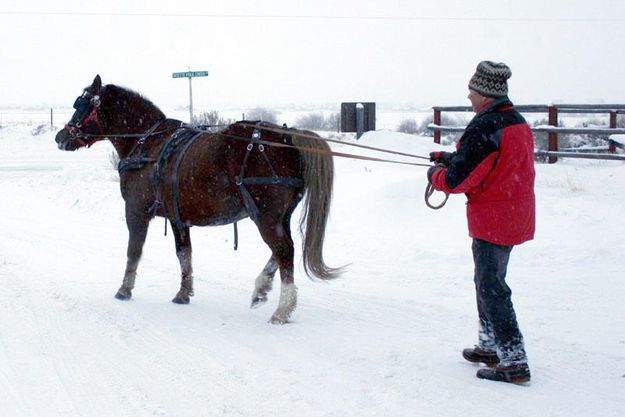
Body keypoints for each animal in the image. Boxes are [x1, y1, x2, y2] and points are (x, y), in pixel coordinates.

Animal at [54, 74, 344, 322]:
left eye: (81, 104)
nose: (60, 137)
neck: (147, 143)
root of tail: (288, 136)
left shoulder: (136, 210)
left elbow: (133, 251)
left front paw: (124, 290)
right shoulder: (177, 217)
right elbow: (184, 254)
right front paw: (183, 293)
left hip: (266, 216)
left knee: (284, 250)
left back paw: (282, 310)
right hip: (279, 216)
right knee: (282, 250)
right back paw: (261, 288)